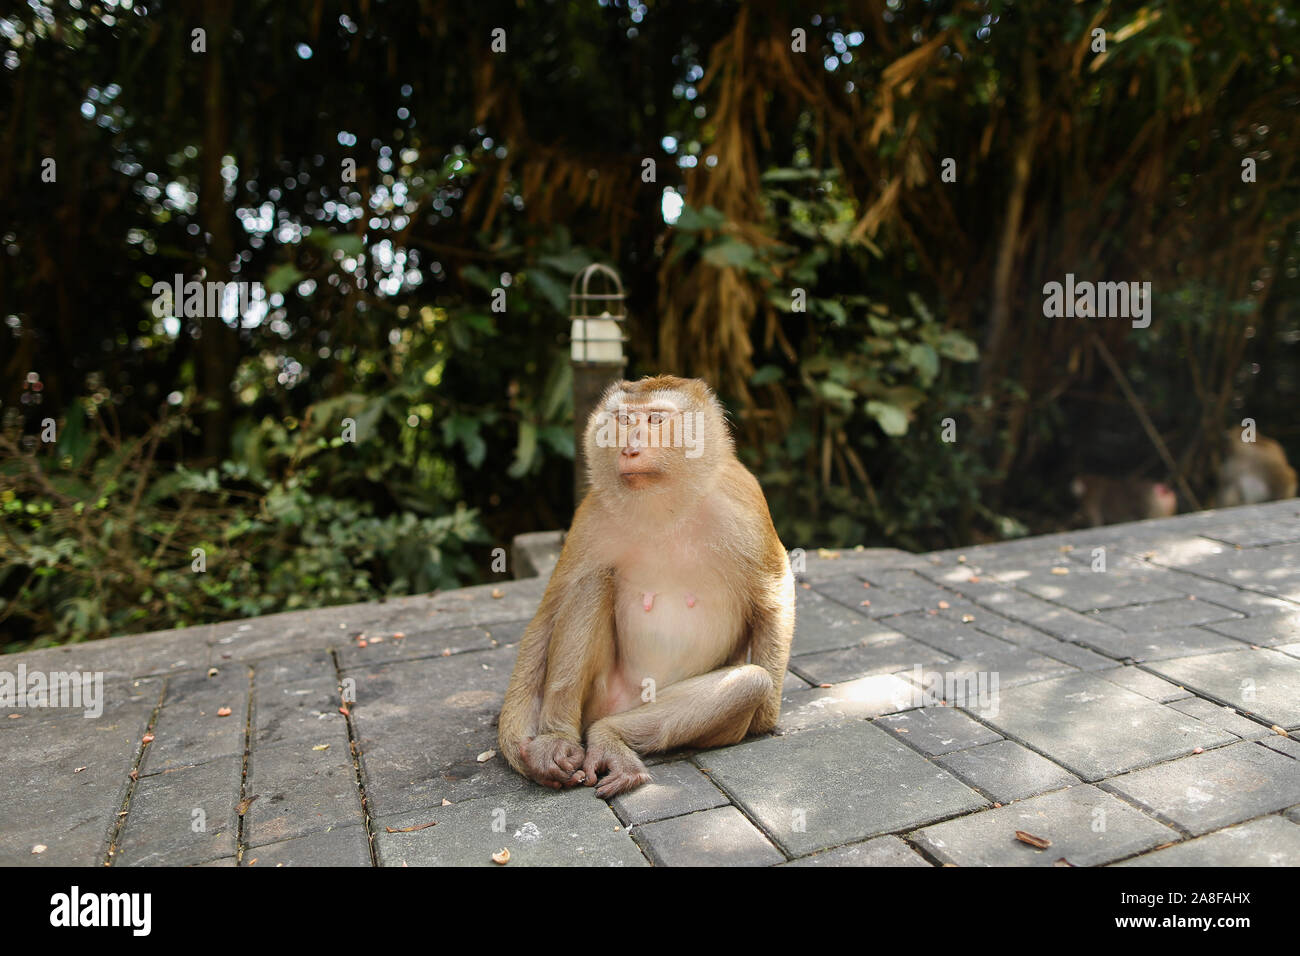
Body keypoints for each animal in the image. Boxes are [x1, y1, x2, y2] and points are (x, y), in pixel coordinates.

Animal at [493, 374, 790, 801]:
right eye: (623, 420)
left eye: (655, 419)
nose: (630, 447)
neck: (663, 508)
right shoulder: (592, 514)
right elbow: (550, 613)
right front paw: (523, 743)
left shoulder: (743, 501)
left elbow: (773, 594)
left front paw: (765, 720)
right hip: (599, 695)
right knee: (590, 585)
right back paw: (559, 738)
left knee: (751, 682)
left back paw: (609, 737)